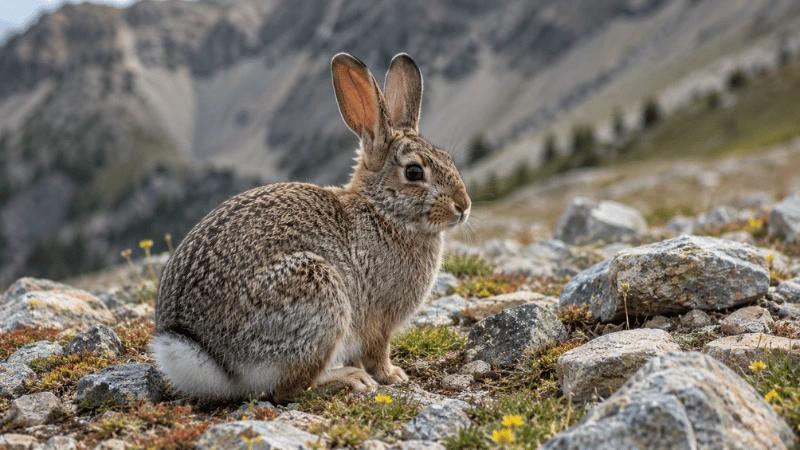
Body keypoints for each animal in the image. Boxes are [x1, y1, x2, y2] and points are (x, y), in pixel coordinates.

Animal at [152, 52, 471, 402]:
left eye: (447, 158)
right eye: (414, 172)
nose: (463, 205)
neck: (383, 212)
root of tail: (206, 354)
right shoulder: (378, 320)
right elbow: (377, 352)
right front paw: (393, 375)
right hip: (318, 296)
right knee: (288, 389)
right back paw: (349, 380)